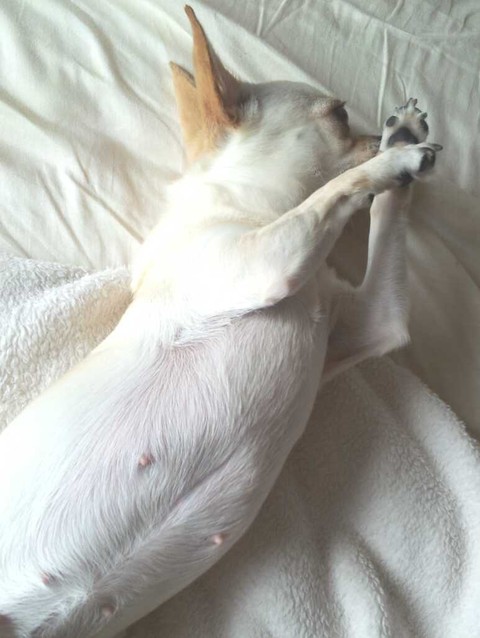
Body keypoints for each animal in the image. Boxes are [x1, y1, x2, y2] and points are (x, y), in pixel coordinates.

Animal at [0, 6, 441, 637]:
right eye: (339, 114)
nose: (376, 133)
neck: (250, 211)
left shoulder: (375, 321)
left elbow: (383, 212)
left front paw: (403, 138)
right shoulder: (268, 262)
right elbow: (337, 192)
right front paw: (396, 157)